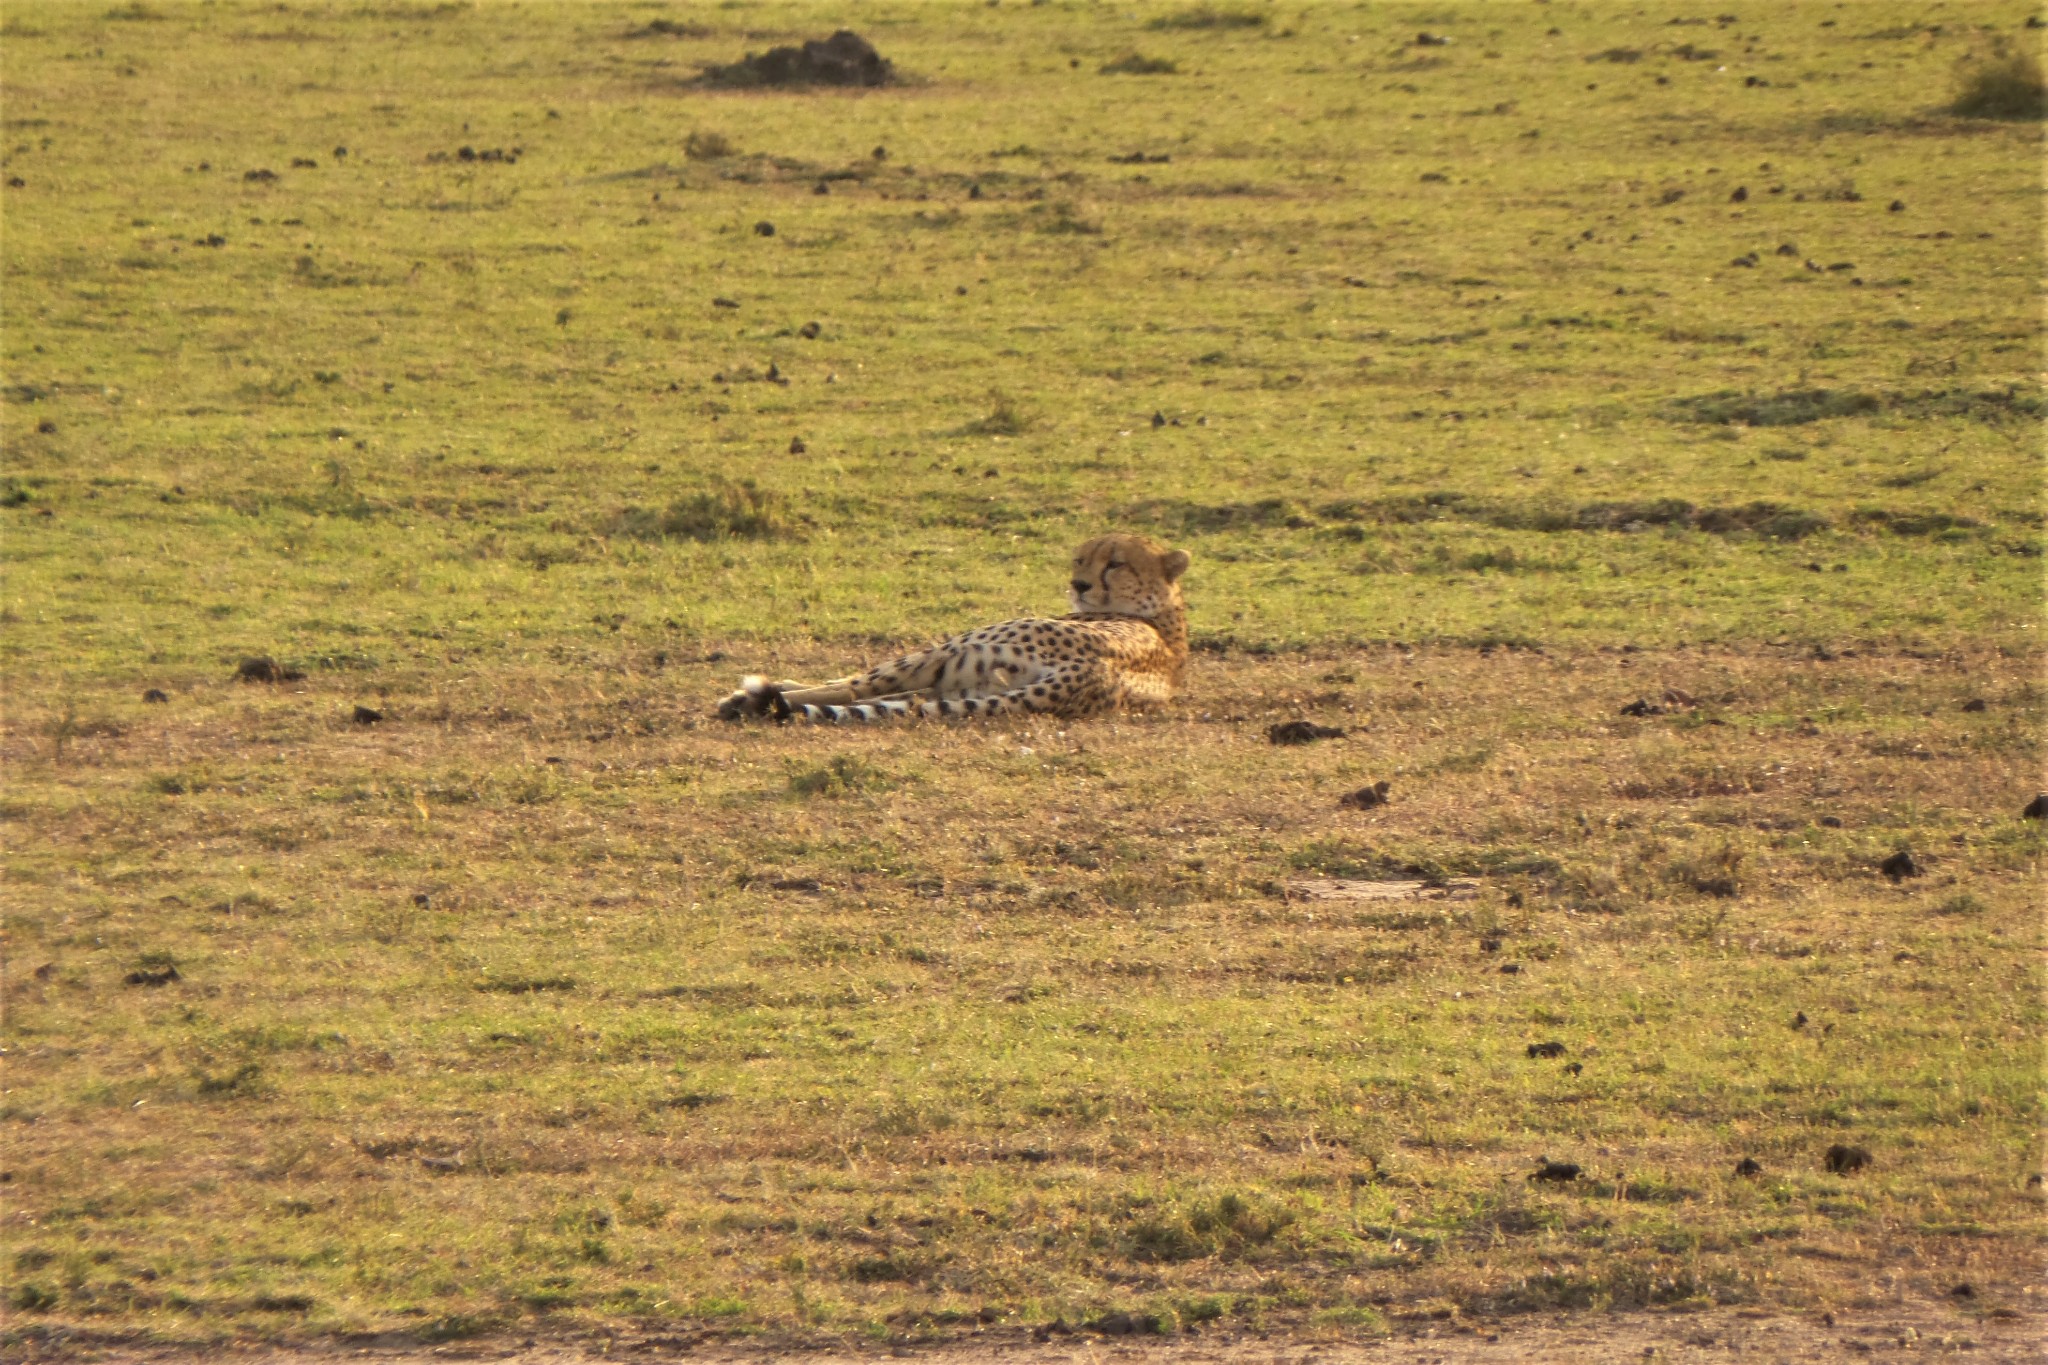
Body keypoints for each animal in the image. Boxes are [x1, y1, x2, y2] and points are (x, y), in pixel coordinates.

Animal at [716, 532, 1187, 724]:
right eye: (1080, 559)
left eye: (1115, 563)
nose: (1079, 584)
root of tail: (1095, 671)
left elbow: (847, 681)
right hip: (968, 686)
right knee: (892, 698)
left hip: (951, 650)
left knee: (858, 688)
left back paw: (745, 700)